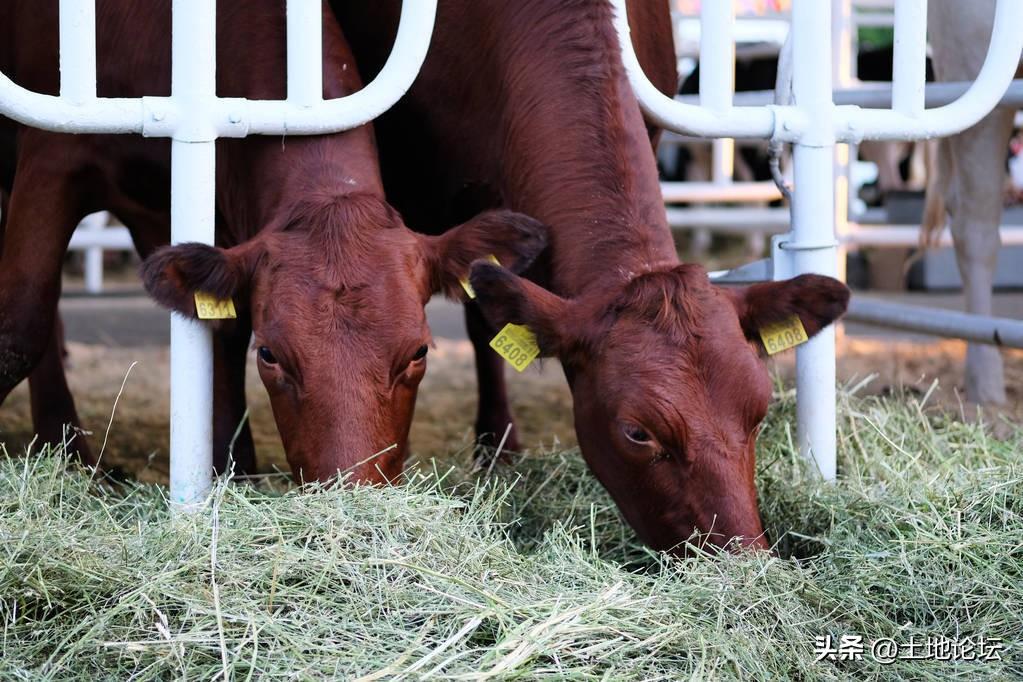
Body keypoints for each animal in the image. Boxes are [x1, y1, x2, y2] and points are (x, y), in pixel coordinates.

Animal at [0, 0, 548, 482]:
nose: (350, 494)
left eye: (419, 352)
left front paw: (234, 469)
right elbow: (20, 327)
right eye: (270, 356)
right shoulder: (54, 156)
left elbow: (221, 332)